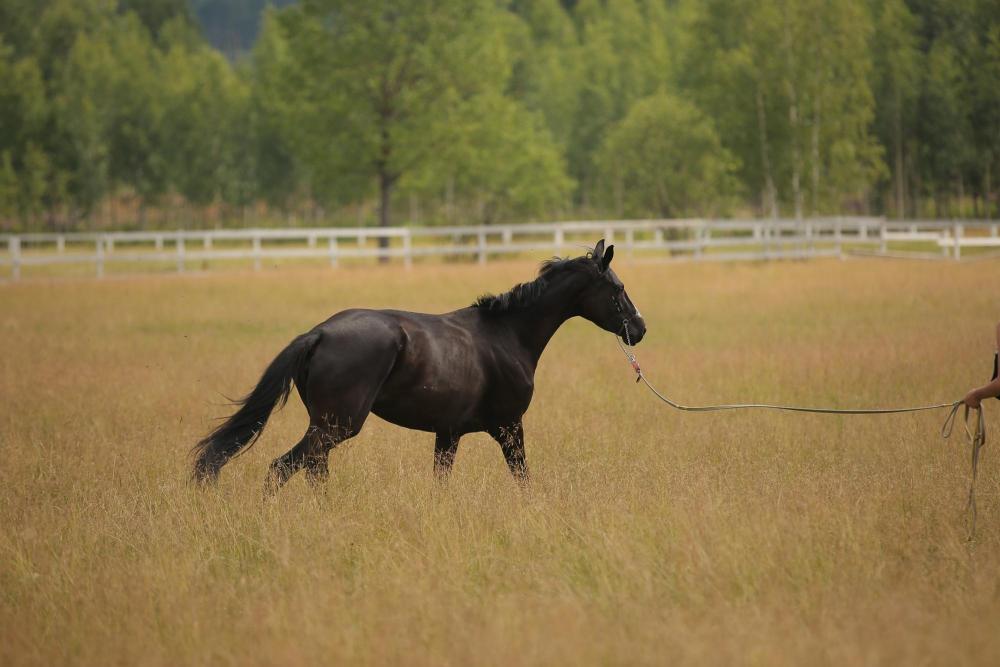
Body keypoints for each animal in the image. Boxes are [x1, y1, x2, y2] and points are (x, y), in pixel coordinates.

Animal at [192, 239, 646, 492]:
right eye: (618, 288)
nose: (639, 329)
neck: (507, 335)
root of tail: (317, 334)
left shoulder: (448, 434)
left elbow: (440, 485)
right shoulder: (509, 427)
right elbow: (523, 479)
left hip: (325, 427)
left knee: (312, 470)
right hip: (336, 426)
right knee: (282, 469)